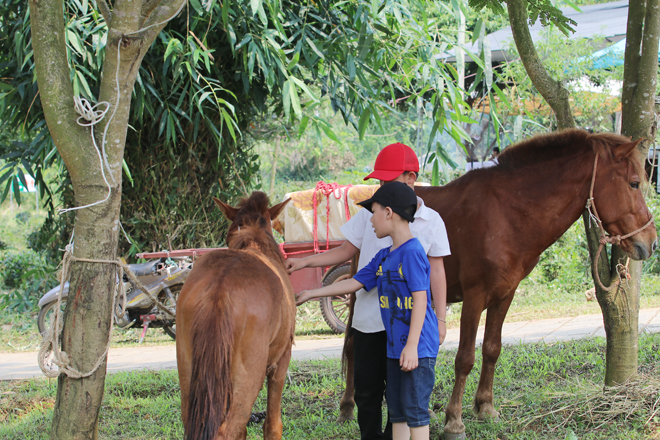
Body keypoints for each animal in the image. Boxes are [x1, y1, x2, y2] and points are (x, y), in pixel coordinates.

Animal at [178, 192, 296, 440]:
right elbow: (272, 425)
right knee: (228, 429)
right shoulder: (280, 362)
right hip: (248, 377)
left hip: (189, 369)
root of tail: (221, 287)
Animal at [338, 129, 656, 438]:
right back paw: (347, 407)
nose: (650, 242)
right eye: (634, 183)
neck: (508, 213)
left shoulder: (505, 294)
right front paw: (454, 420)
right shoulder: (475, 295)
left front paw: (485, 407)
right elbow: (465, 357)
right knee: (354, 344)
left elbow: (492, 349)